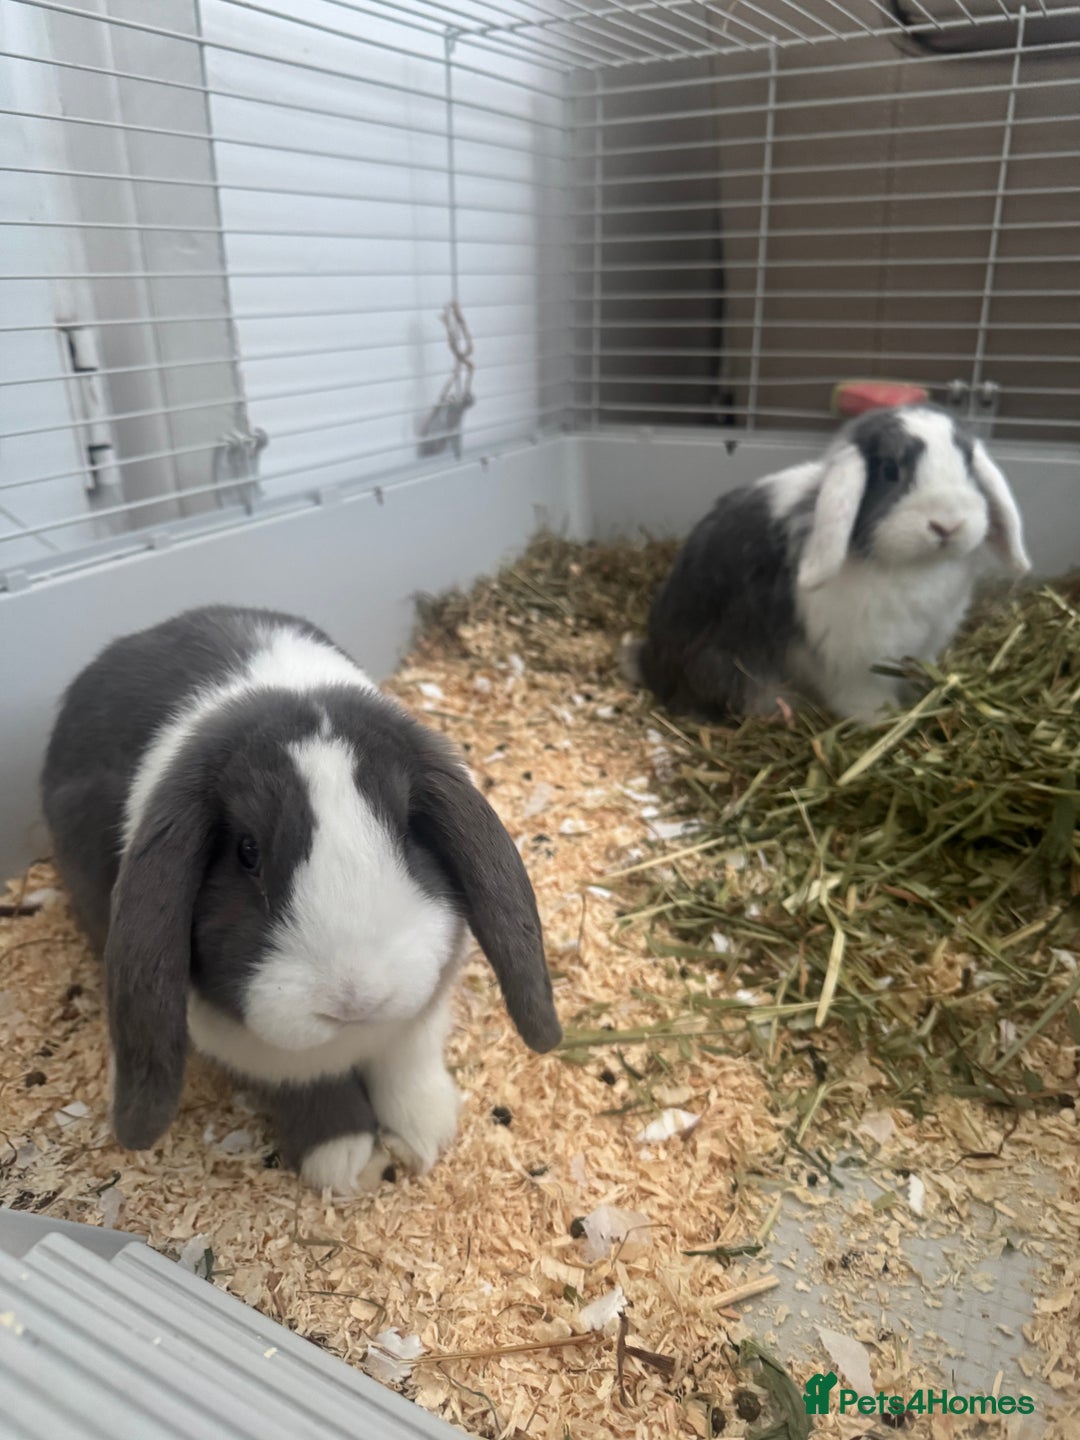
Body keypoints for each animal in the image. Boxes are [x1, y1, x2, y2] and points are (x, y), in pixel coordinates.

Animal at [41, 605, 561, 1195]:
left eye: (407, 831)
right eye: (247, 851)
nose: (355, 999)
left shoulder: (417, 1025)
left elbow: (407, 1063)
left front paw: (423, 1136)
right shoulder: (275, 1061)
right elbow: (310, 1087)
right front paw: (347, 1162)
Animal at [626, 405, 1031, 723]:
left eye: (968, 465)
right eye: (889, 469)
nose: (947, 524)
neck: (915, 565)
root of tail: (649, 662)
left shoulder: (924, 645)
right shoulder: (856, 663)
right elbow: (864, 698)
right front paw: (882, 721)